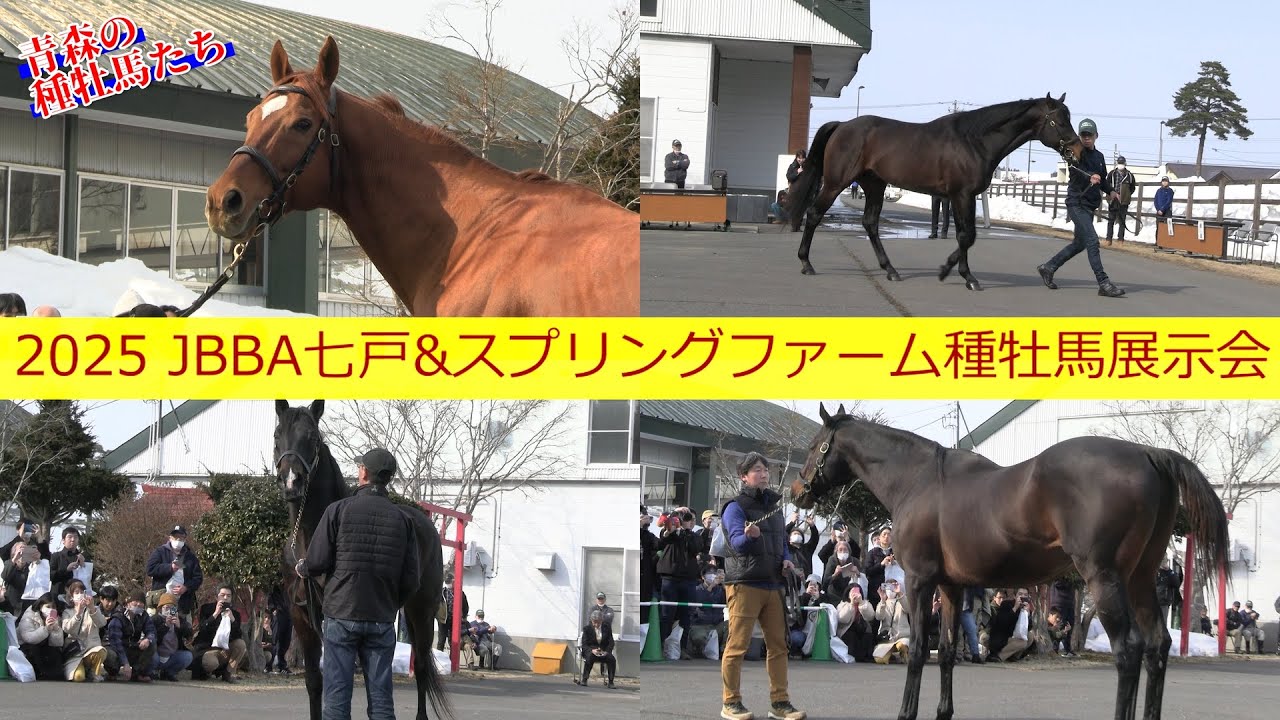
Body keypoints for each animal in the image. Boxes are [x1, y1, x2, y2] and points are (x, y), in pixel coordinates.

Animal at [273, 400, 450, 720]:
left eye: (312, 438)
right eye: (277, 435)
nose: (292, 482)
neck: (307, 544)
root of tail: (426, 523)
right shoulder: (302, 618)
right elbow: (315, 683)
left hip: (422, 611)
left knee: (420, 669)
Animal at [788, 94, 1084, 291]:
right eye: (1058, 122)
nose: (1078, 149)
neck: (974, 141)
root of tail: (842, 125)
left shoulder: (962, 197)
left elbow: (965, 235)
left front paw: (961, 273)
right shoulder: (962, 194)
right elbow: (966, 236)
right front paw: (954, 273)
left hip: (875, 185)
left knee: (870, 223)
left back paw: (891, 270)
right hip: (836, 183)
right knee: (814, 214)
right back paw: (806, 264)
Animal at [791, 403, 1229, 720]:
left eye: (814, 446)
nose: (797, 491)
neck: (918, 480)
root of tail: (1148, 453)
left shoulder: (919, 581)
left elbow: (917, 650)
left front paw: (906, 713)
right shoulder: (951, 587)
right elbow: (945, 651)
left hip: (1105, 578)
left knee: (1129, 651)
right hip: (1139, 578)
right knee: (1157, 646)